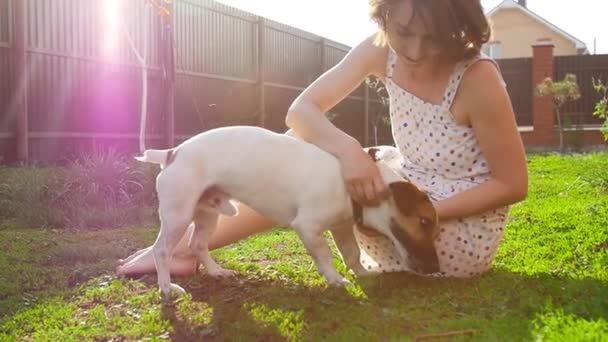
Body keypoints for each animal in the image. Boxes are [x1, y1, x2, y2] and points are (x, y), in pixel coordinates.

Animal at [134, 125, 436, 300]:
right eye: (424, 221)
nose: (434, 268)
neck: (352, 185)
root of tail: (171, 152)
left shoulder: (340, 227)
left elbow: (351, 254)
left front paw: (361, 273)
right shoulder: (308, 227)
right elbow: (325, 255)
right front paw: (335, 280)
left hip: (208, 215)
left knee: (197, 244)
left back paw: (216, 271)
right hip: (179, 216)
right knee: (162, 250)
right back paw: (166, 288)